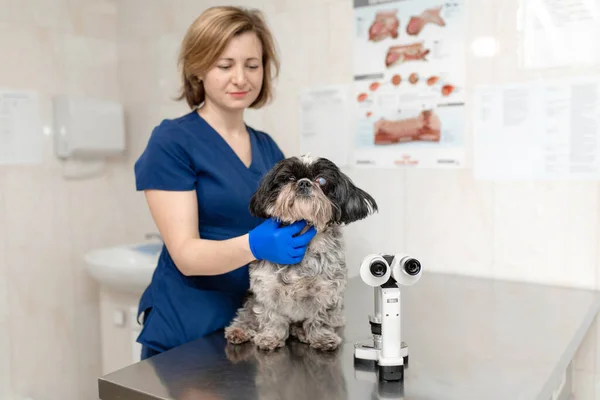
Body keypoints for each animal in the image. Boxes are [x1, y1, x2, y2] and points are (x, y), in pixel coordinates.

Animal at [226, 155, 380, 352]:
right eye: (289, 178)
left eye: (321, 180)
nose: (304, 183)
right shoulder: (266, 287)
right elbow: (271, 315)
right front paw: (270, 337)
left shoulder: (326, 290)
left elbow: (320, 317)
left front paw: (321, 337)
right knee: (246, 314)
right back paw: (240, 330)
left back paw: (301, 331)